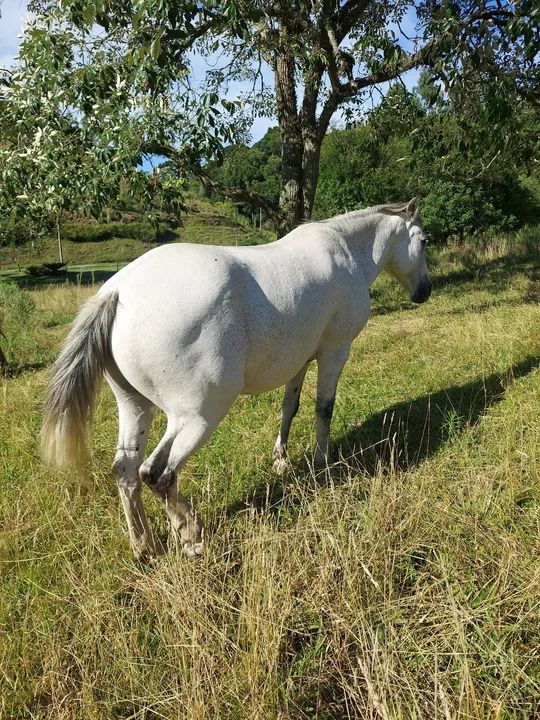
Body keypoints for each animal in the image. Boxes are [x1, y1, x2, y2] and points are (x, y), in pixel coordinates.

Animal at [41, 199, 432, 560]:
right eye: (424, 240)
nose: (424, 292)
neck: (345, 250)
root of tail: (117, 292)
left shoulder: (299, 361)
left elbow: (289, 407)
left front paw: (280, 461)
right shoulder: (334, 352)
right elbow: (324, 407)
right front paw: (323, 462)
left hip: (137, 408)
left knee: (126, 472)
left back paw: (145, 547)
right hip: (198, 417)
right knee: (158, 474)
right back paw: (190, 536)